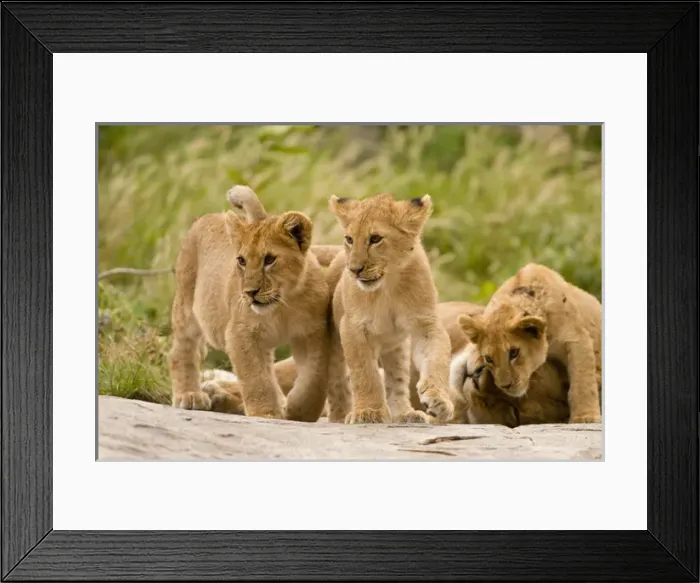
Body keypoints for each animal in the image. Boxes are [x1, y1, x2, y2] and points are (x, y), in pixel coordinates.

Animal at [168, 185, 330, 422]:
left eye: (269, 259)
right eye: (242, 261)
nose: (250, 292)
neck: (283, 306)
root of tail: (207, 217)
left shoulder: (312, 333)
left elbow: (314, 378)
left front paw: (300, 411)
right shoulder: (241, 333)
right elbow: (256, 379)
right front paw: (267, 414)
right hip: (187, 305)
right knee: (183, 350)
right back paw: (189, 395)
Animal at [323, 192, 455, 424]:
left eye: (375, 239)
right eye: (349, 239)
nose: (354, 270)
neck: (388, 286)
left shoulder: (426, 323)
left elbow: (437, 358)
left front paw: (438, 400)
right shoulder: (352, 328)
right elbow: (365, 373)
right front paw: (368, 412)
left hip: (397, 347)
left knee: (397, 381)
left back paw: (405, 414)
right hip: (333, 343)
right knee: (337, 379)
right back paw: (341, 415)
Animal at [457, 263, 602, 424]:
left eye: (514, 353)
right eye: (488, 359)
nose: (505, 386)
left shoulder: (576, 337)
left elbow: (582, 380)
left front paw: (585, 417)